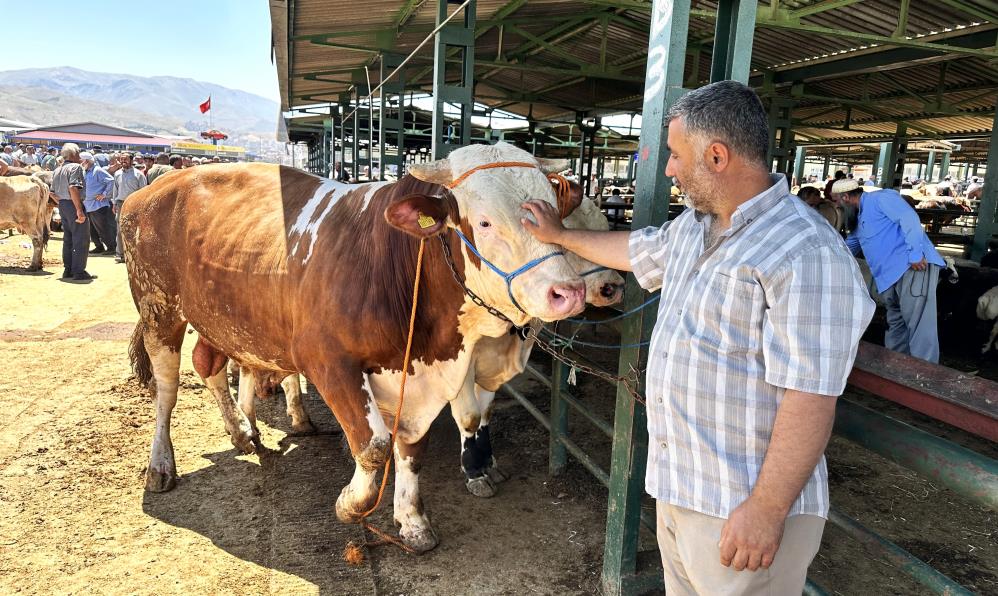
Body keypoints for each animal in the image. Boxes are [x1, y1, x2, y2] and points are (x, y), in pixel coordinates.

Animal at [125, 142, 592, 552]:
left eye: (553, 214)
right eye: (485, 222)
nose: (568, 292)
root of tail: (155, 187)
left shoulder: (416, 375)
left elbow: (412, 450)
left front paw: (412, 521)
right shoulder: (327, 360)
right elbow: (375, 446)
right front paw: (350, 505)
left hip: (225, 316)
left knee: (209, 362)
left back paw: (243, 430)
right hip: (158, 310)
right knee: (168, 389)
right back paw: (161, 465)